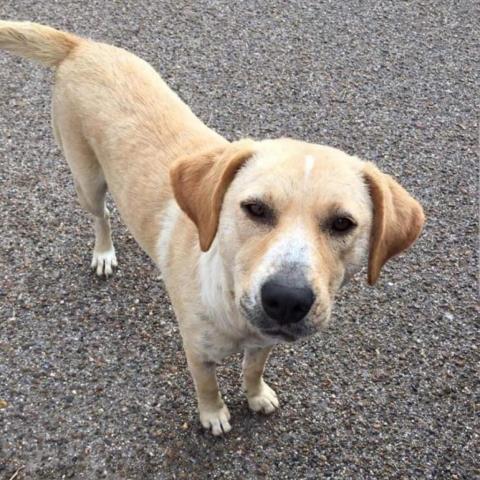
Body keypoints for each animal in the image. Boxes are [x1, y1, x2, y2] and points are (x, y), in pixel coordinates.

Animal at [0, 21, 424, 436]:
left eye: (342, 223)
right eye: (255, 209)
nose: (287, 299)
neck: (229, 297)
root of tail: (83, 46)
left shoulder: (264, 341)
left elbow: (253, 369)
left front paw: (257, 395)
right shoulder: (197, 351)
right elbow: (207, 386)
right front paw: (214, 415)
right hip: (86, 179)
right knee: (99, 215)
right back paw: (103, 253)